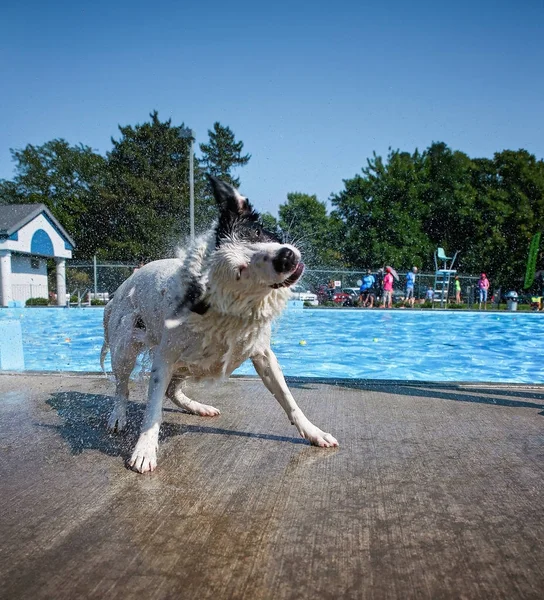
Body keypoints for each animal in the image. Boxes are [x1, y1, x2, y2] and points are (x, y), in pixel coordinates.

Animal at [100, 176, 338, 472]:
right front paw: (144, 449)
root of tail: (123, 287)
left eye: (257, 233)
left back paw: (196, 406)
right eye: (240, 270)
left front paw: (313, 432)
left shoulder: (263, 354)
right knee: (122, 386)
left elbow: (288, 399)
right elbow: (152, 410)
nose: (285, 256)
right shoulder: (164, 358)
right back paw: (118, 416)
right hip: (126, 346)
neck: (224, 309)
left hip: (190, 363)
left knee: (172, 390)